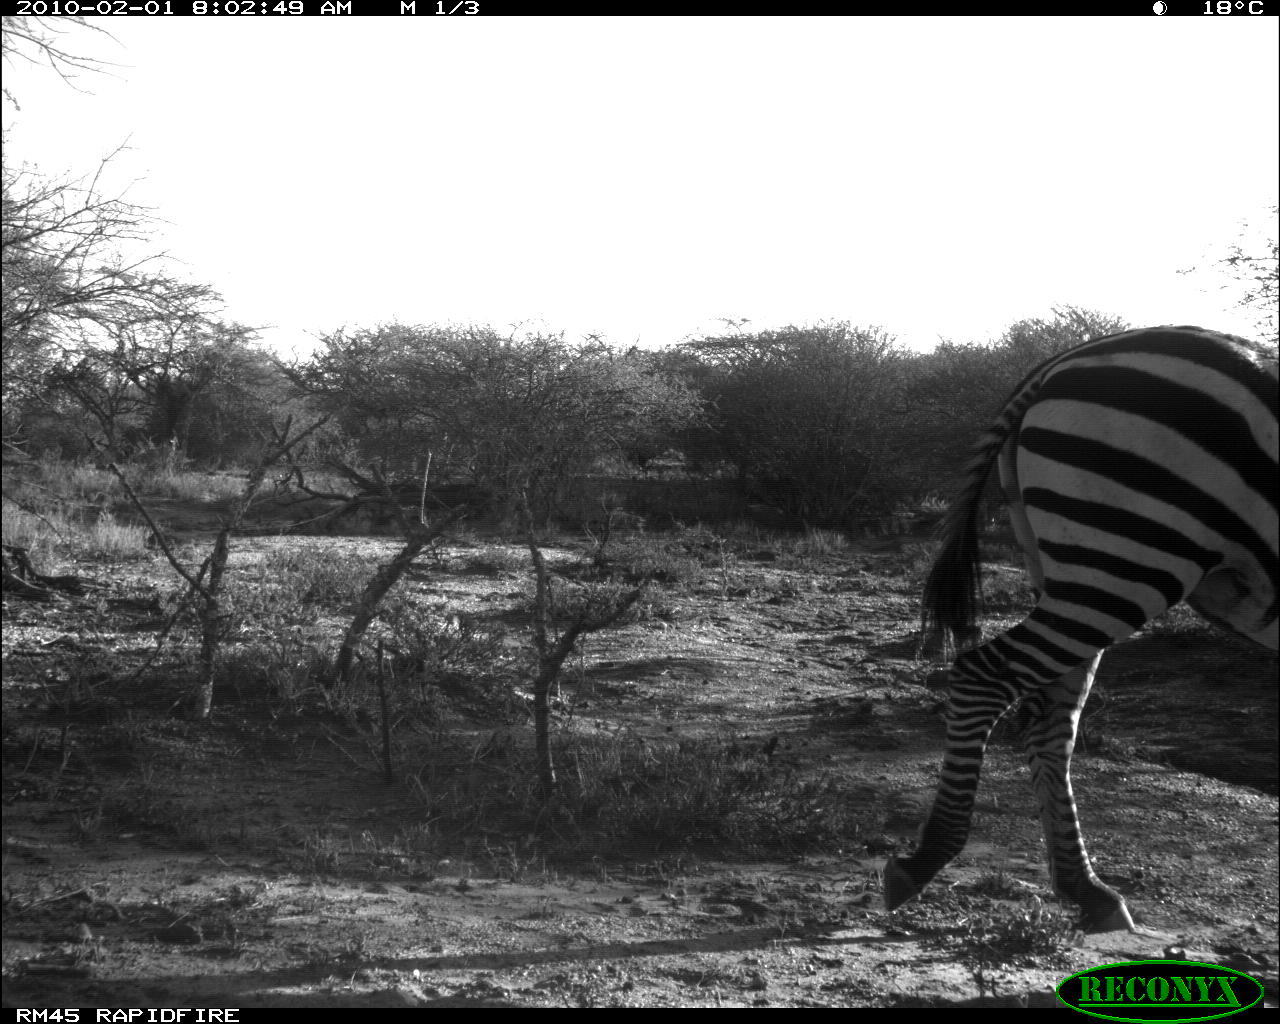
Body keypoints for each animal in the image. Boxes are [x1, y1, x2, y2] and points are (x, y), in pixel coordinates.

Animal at [885, 323, 1274, 931]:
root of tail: (1059, 363)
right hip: (1130, 551)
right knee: (985, 677)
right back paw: (927, 858)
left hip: (1074, 566)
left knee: (1050, 719)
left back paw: (1085, 887)